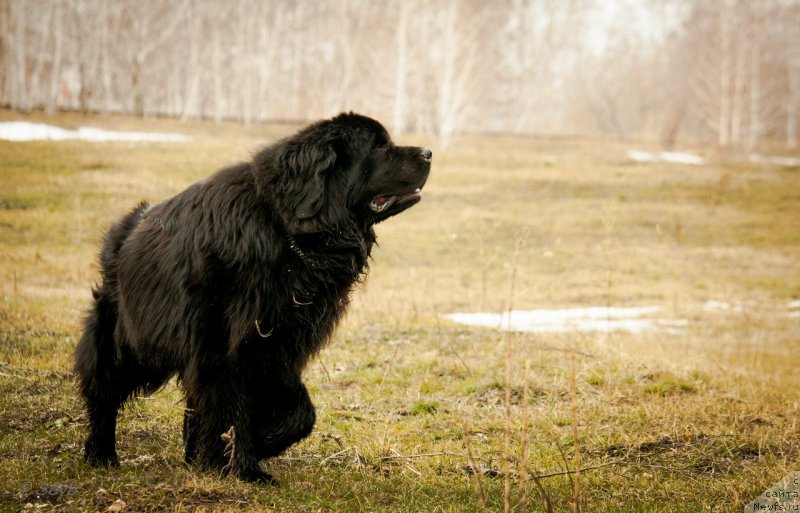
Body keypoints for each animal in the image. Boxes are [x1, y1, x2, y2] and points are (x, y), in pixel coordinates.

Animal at [76, 112, 432, 480]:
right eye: (379, 147)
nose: (429, 152)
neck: (287, 232)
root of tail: (128, 226)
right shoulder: (225, 345)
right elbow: (231, 409)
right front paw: (241, 466)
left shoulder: (277, 344)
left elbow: (299, 411)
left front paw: (256, 447)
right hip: (128, 340)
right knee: (104, 390)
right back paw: (101, 453)